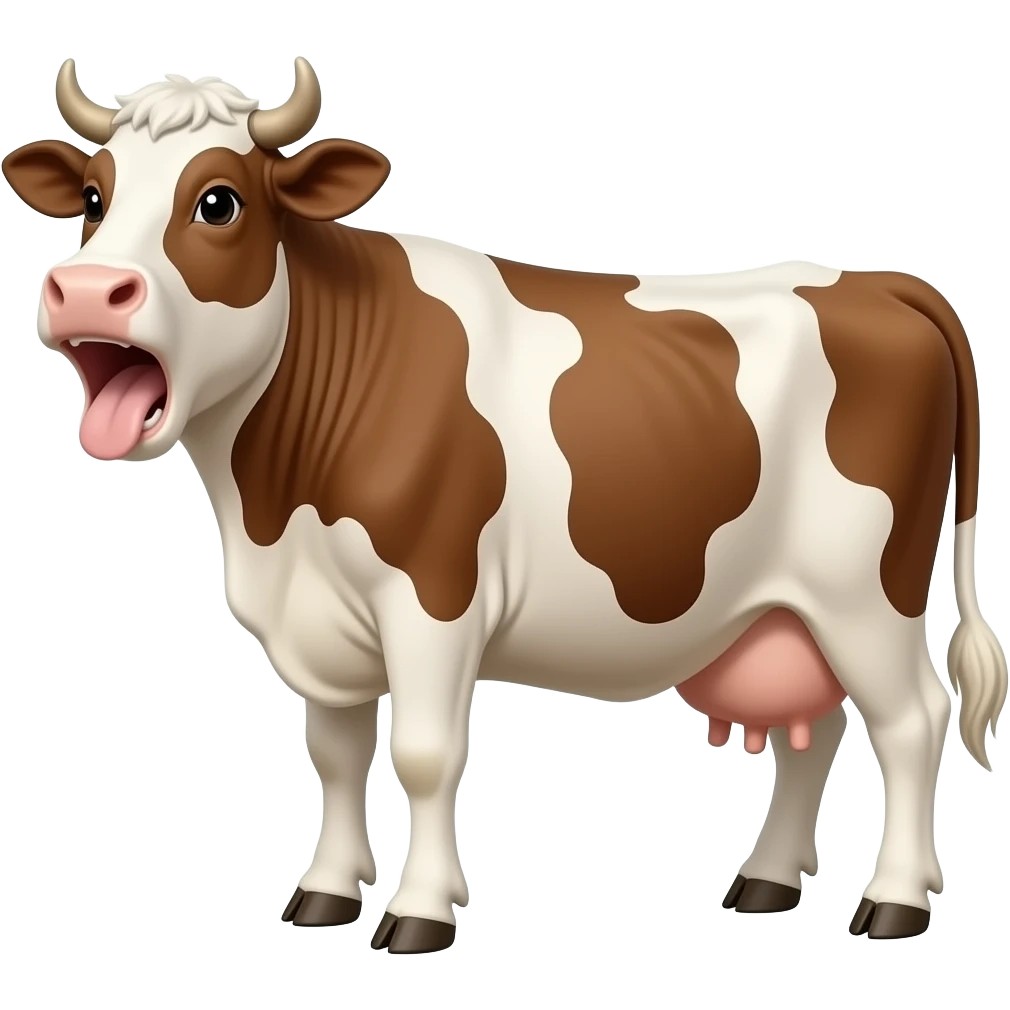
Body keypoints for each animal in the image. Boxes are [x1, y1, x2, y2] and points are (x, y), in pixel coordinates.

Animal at [2, 57, 1005, 952]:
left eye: (219, 202)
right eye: (90, 198)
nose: (84, 290)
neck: (272, 513)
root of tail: (879, 281)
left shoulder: (434, 594)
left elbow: (424, 754)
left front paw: (418, 914)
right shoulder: (318, 615)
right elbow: (335, 754)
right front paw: (324, 895)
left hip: (865, 590)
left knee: (913, 720)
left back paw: (894, 903)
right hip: (789, 606)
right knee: (818, 729)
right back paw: (764, 882)